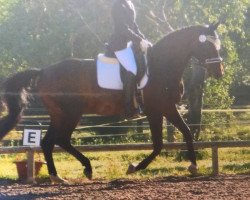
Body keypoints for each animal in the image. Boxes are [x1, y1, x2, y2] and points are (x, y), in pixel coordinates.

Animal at [0, 23, 223, 183]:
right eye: (208, 44)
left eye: (218, 44)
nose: (219, 72)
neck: (162, 65)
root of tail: (44, 71)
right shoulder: (155, 110)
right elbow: (159, 144)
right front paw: (134, 167)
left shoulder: (167, 107)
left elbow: (186, 132)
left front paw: (193, 166)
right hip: (71, 113)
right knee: (61, 139)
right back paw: (85, 168)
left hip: (60, 114)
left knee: (49, 142)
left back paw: (58, 176)